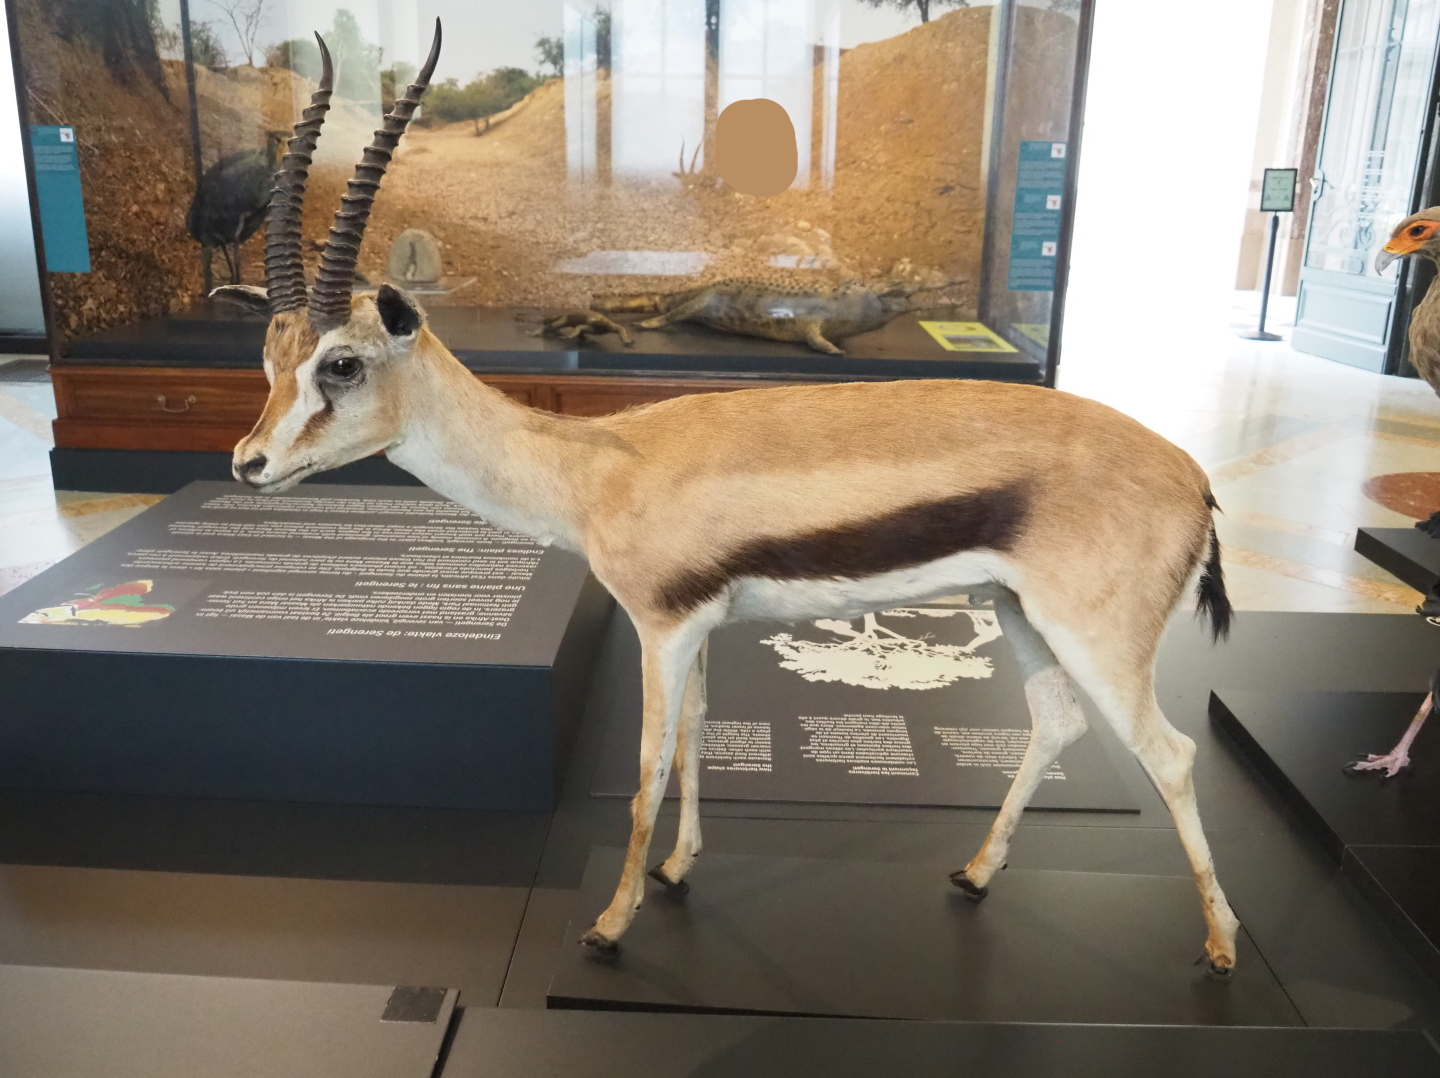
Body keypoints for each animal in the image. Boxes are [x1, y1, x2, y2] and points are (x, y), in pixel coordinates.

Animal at [215, 21, 1242, 975]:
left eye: (341, 363)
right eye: (268, 355)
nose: (248, 463)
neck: (597, 467)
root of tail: (1195, 478)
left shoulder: (660, 628)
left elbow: (643, 766)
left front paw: (609, 925)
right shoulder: (700, 627)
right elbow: (697, 738)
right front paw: (677, 871)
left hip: (1094, 637)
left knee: (1172, 754)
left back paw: (1221, 945)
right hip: (1019, 612)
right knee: (1056, 722)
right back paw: (976, 873)